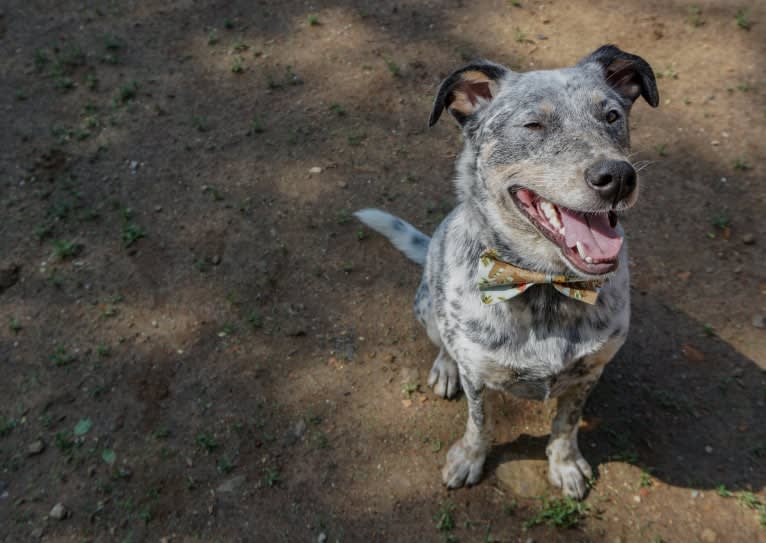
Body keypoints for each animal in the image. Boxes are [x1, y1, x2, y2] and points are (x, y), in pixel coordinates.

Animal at [354, 46, 660, 502]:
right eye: (533, 124)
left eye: (611, 116)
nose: (619, 177)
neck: (545, 284)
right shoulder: (478, 377)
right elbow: (479, 424)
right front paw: (468, 459)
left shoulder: (589, 373)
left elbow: (566, 424)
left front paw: (565, 465)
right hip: (427, 307)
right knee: (443, 344)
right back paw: (444, 368)